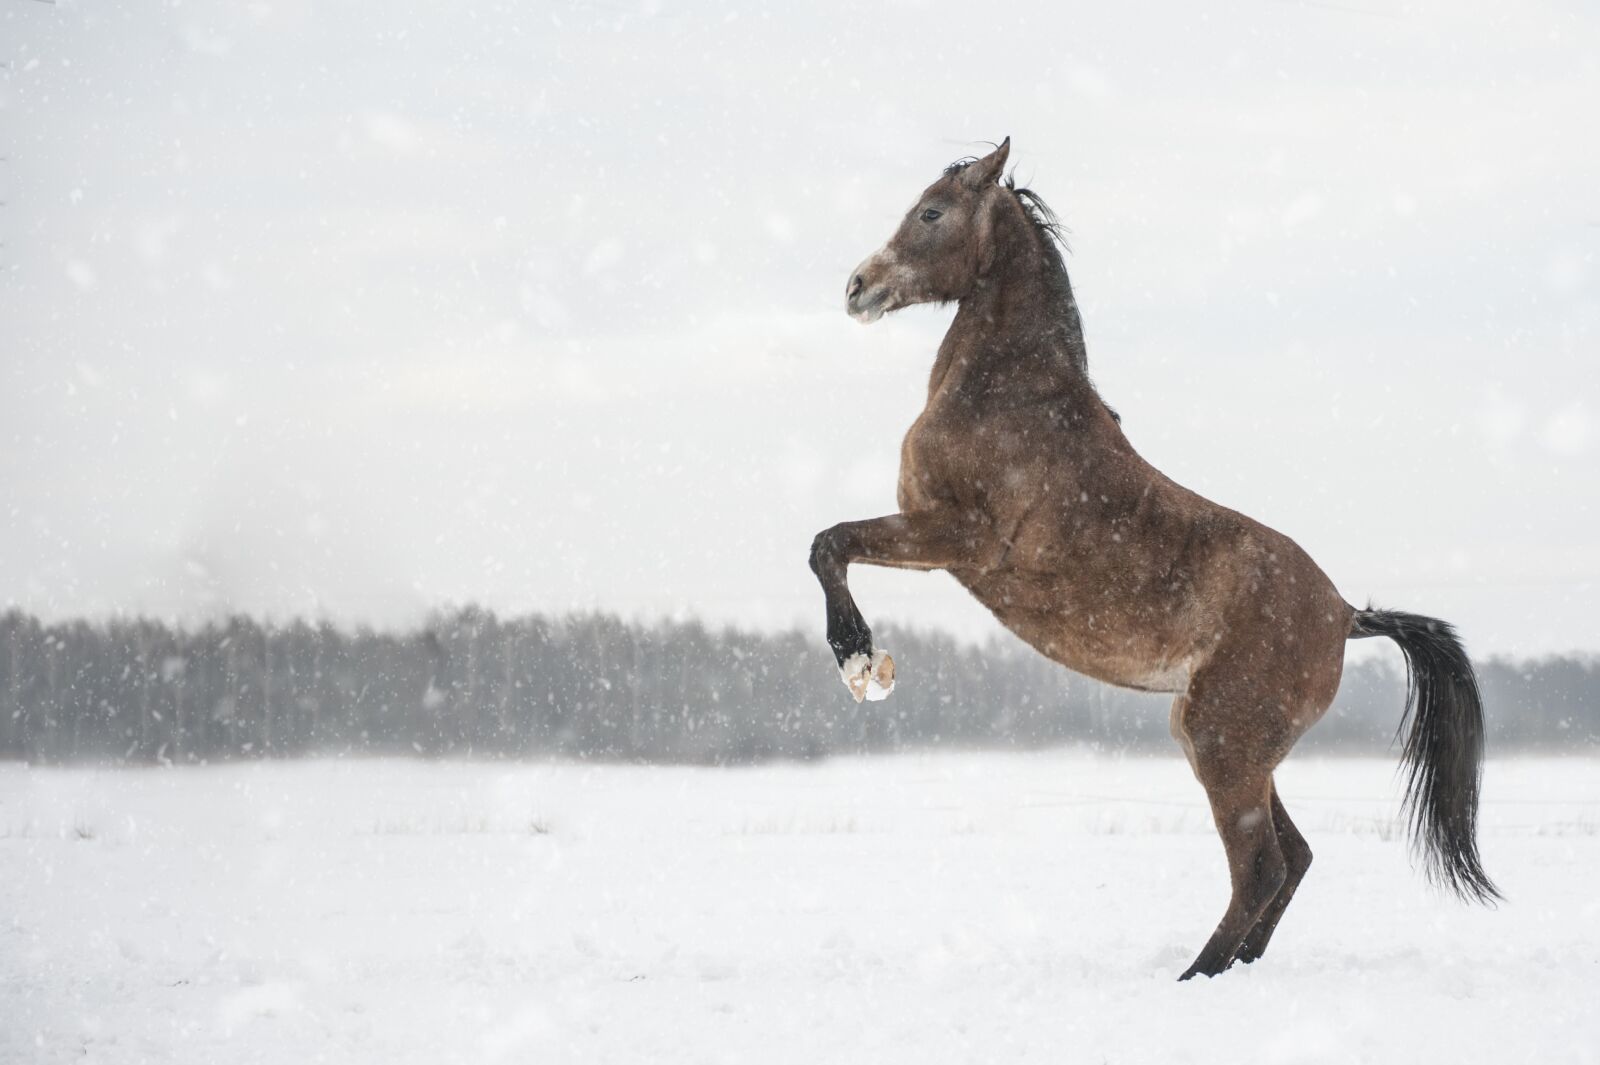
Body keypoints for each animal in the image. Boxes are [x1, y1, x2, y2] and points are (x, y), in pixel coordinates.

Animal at [808, 138, 1499, 980]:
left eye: (932, 212)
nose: (857, 286)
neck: (1008, 397)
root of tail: (1345, 615)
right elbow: (832, 543)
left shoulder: (955, 536)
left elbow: (832, 541)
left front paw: (860, 662)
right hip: (1220, 742)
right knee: (1292, 858)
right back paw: (1232, 969)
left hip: (1222, 741)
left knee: (1261, 865)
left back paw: (1195, 974)